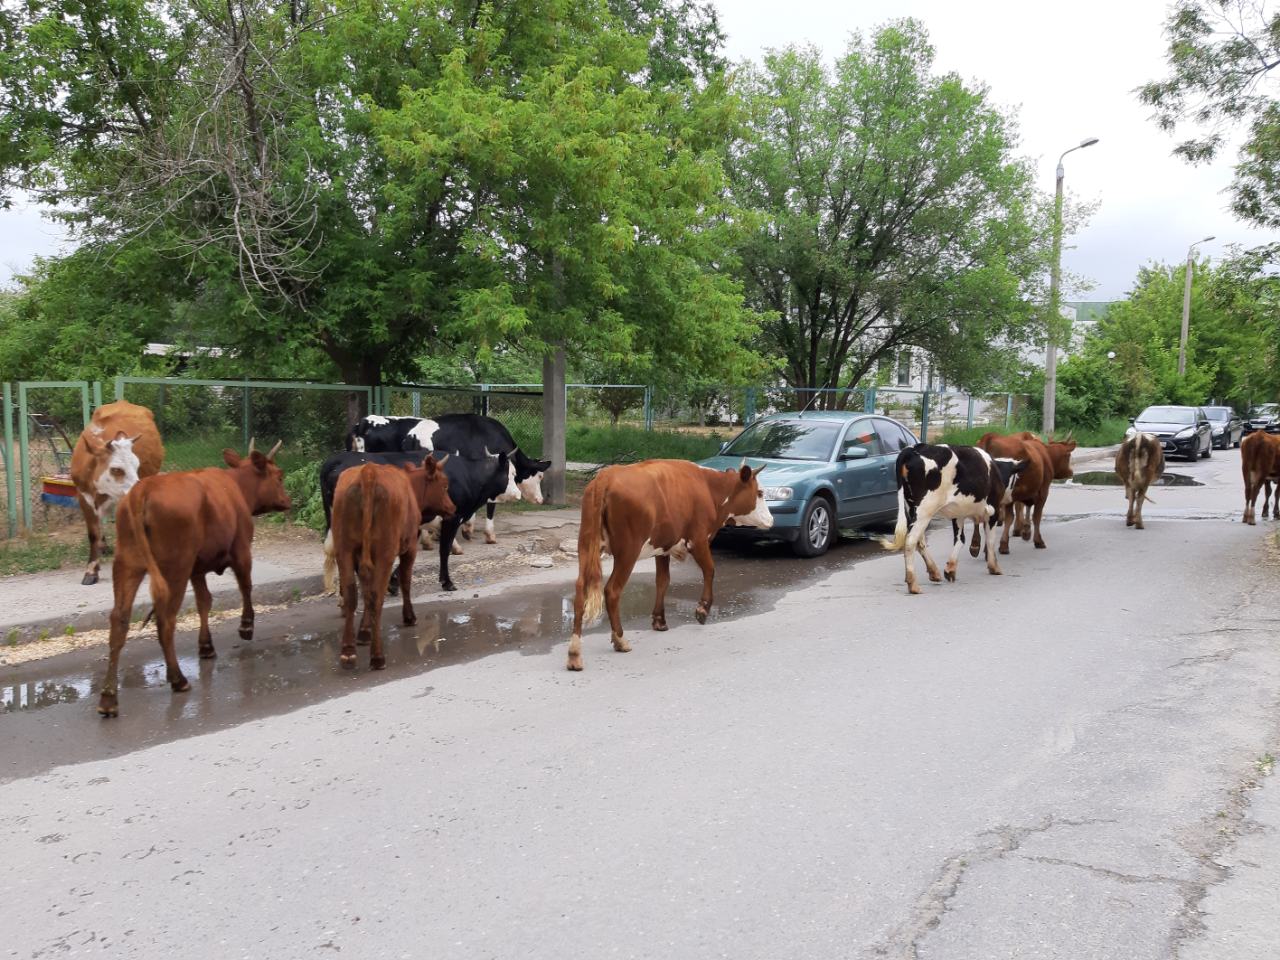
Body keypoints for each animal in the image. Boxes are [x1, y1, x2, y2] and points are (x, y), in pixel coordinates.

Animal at [97, 440, 293, 716]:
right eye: (279, 476)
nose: (288, 500)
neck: (235, 487)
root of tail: (142, 490)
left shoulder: (197, 569)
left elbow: (204, 602)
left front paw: (206, 646)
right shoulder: (242, 550)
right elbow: (246, 586)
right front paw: (246, 626)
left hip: (127, 564)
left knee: (119, 620)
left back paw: (108, 698)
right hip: (174, 567)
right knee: (166, 619)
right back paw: (178, 679)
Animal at [332, 460, 458, 670]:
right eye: (445, 485)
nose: (452, 507)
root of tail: (368, 471)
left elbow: (365, 590)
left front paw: (364, 630)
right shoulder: (410, 546)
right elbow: (405, 581)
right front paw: (409, 617)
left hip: (344, 550)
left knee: (352, 595)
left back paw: (348, 652)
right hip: (385, 551)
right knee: (377, 596)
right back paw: (377, 657)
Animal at [880, 448, 1029, 599]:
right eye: (1015, 478)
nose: (1011, 498)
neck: (995, 469)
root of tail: (913, 449)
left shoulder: (958, 514)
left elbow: (960, 540)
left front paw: (950, 569)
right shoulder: (993, 510)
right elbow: (990, 540)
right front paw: (994, 567)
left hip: (911, 509)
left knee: (920, 541)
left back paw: (934, 572)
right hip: (925, 509)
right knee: (911, 541)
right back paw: (913, 585)